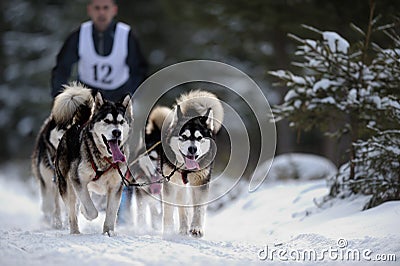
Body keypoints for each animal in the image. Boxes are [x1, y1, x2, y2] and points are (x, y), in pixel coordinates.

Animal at [53, 83, 133, 235]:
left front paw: (108, 232)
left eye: (121, 122)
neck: (105, 159)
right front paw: (88, 214)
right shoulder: (77, 179)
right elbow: (91, 211)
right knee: (72, 210)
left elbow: (111, 213)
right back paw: (75, 231)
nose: (117, 132)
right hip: (67, 185)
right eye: (107, 120)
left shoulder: (115, 186)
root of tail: (77, 124)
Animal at [147, 90, 223, 238]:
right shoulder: (170, 183)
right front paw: (168, 231)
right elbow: (169, 211)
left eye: (199, 138)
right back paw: (182, 228)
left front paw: (196, 228)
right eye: (184, 136)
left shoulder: (201, 182)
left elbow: (199, 209)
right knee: (182, 206)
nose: (192, 149)